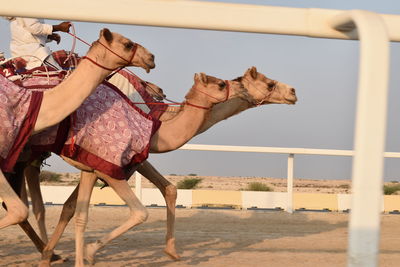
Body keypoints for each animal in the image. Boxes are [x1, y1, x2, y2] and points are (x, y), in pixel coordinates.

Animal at [27, 66, 296, 266]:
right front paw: (86, 252)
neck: (159, 122)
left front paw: (172, 252)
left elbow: (169, 189)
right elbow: (132, 211)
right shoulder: (109, 163)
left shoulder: (118, 161)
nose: (293, 91)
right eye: (270, 83)